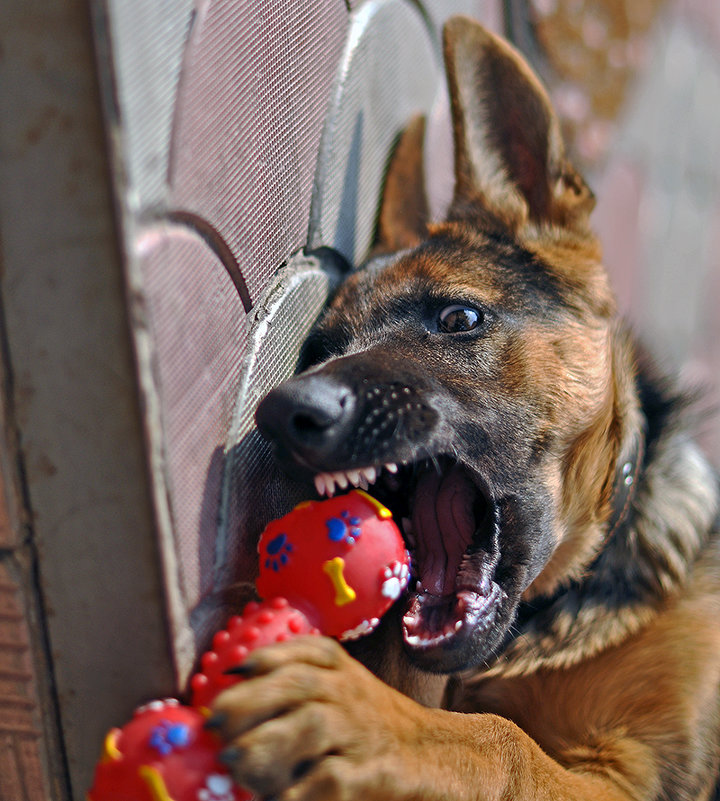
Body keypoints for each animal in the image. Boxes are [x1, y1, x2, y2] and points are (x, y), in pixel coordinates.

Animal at [208, 17, 720, 800]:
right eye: (320, 348)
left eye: (458, 318)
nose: (284, 413)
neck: (552, 610)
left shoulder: (635, 774)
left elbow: (502, 742)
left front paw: (360, 716)